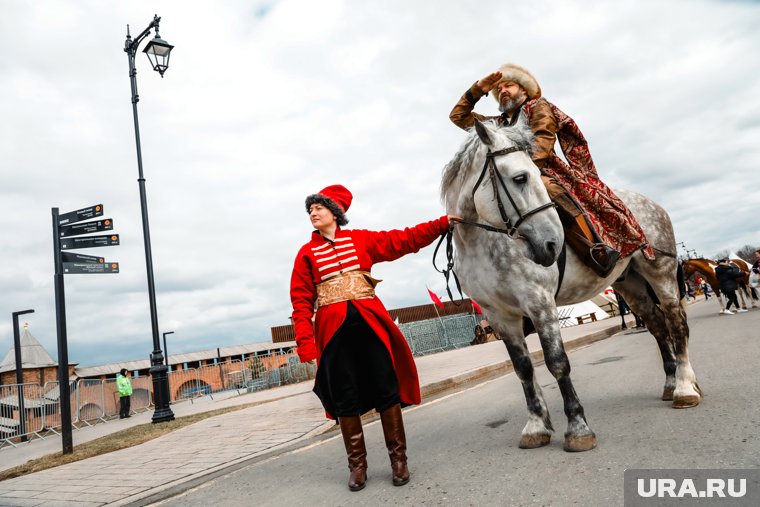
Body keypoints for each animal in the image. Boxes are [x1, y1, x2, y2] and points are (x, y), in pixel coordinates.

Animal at [442, 120, 704, 452]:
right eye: (520, 177)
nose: (552, 243)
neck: (482, 241)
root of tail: (651, 203)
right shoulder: (499, 316)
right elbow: (523, 368)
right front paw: (536, 426)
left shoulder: (539, 303)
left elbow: (557, 363)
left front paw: (578, 427)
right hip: (630, 284)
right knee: (657, 325)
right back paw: (670, 383)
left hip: (661, 273)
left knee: (675, 322)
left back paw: (684, 388)